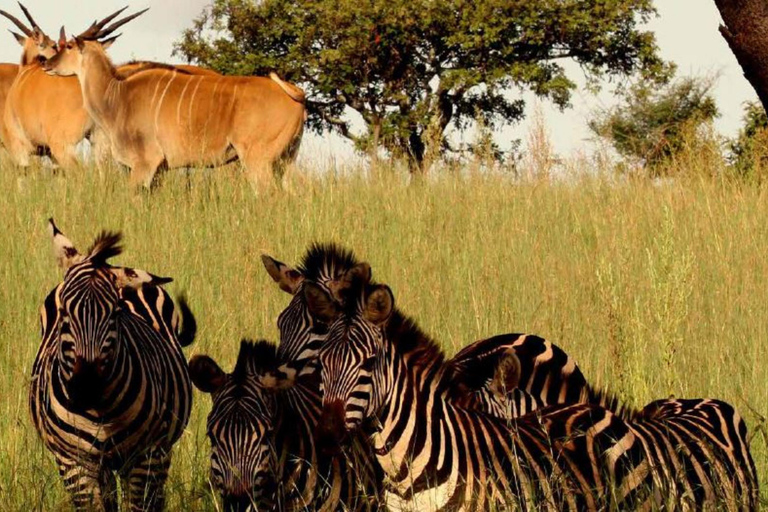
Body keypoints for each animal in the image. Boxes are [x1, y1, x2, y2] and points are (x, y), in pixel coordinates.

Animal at [31, 221, 195, 512]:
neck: (100, 410)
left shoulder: (144, 457)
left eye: (115, 313)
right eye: (64, 313)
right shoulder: (75, 463)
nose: (85, 387)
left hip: (161, 450)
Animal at [45, 9, 306, 190]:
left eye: (69, 46)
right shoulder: (159, 170)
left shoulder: (144, 165)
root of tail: (295, 92)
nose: (47, 63)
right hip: (285, 161)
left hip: (257, 160)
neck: (117, 96)